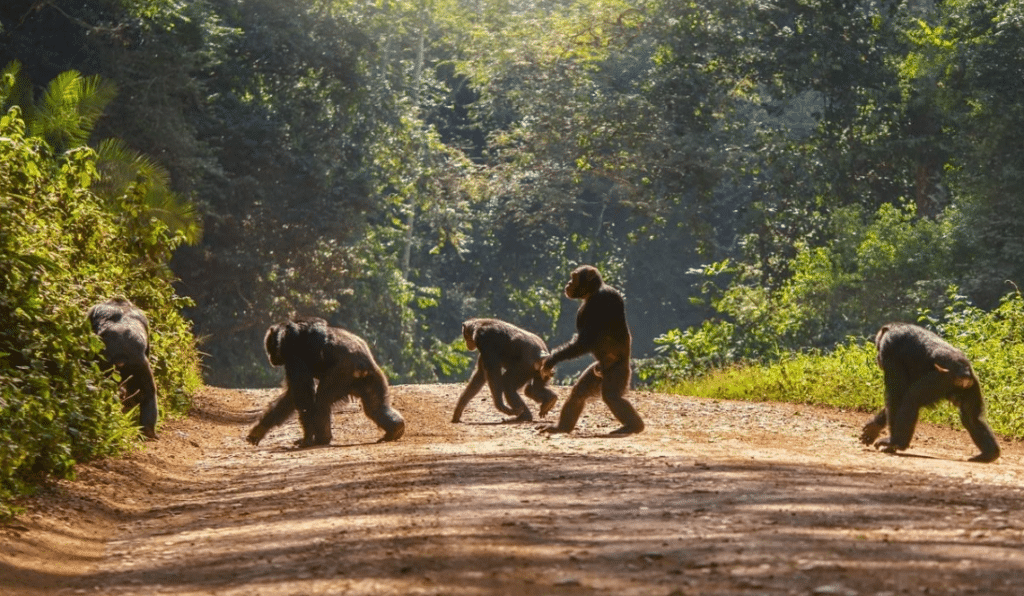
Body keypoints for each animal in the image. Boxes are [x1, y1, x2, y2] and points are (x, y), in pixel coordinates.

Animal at [245, 317, 405, 448]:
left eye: (270, 348)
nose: (270, 357)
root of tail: (363, 366)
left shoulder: (293, 357)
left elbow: (303, 394)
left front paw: (307, 438)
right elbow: (290, 397)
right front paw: (259, 430)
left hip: (342, 373)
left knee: (322, 400)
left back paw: (321, 439)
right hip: (371, 378)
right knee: (375, 407)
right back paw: (395, 429)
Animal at [540, 264, 643, 434]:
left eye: (574, 277)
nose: (568, 283)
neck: (592, 293)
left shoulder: (598, 303)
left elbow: (585, 341)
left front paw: (552, 360)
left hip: (618, 371)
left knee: (612, 396)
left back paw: (634, 426)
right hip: (596, 371)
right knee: (579, 394)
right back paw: (561, 427)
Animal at [856, 325, 999, 464]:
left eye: (878, 347)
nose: (877, 358)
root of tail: (964, 372)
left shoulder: (889, 350)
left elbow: (896, 395)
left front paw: (889, 442)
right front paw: (873, 427)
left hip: (940, 380)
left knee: (911, 399)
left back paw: (896, 442)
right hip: (973, 385)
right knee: (972, 418)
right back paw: (989, 454)